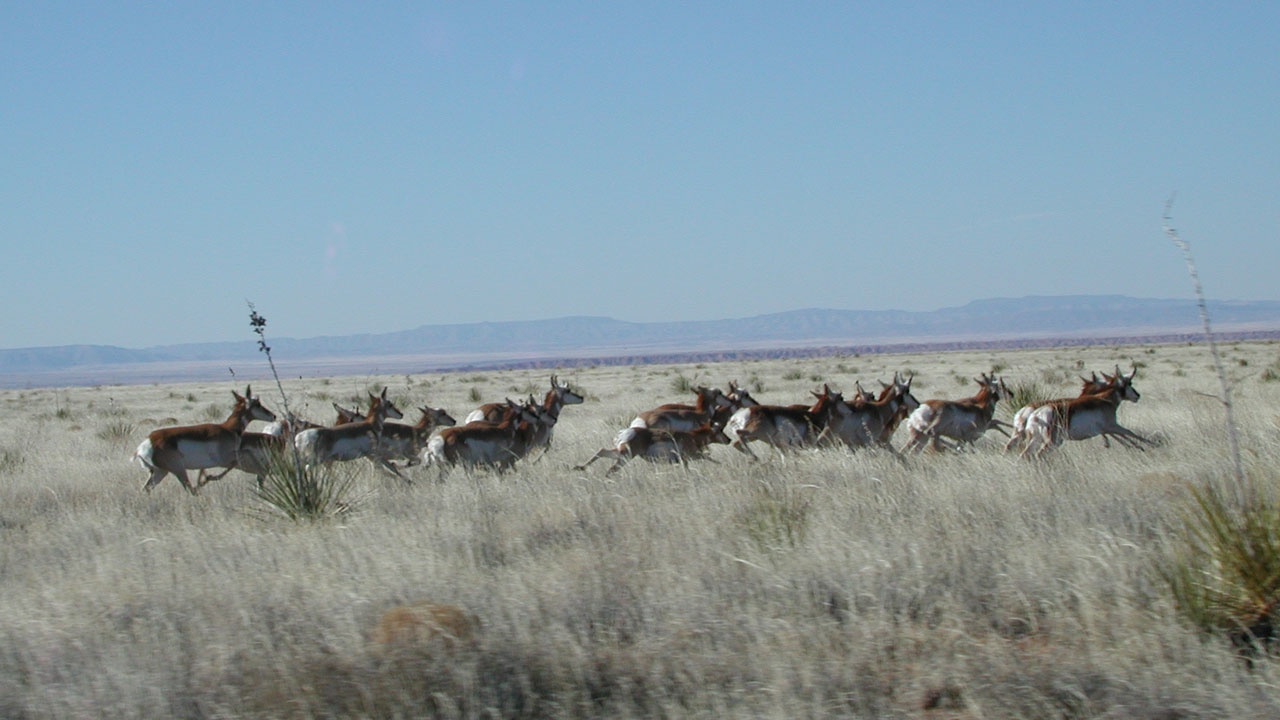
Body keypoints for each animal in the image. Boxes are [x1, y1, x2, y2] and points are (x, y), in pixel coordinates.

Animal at [133, 386, 275, 495]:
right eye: (257, 403)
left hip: (160, 472)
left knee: (146, 489)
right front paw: (208, 477)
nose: (273, 416)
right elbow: (240, 458)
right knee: (190, 490)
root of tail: (147, 442)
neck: (227, 429)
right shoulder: (225, 459)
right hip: (178, 470)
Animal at [575, 423, 731, 475]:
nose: (729, 440)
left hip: (620, 454)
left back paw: (580, 467)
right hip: (625, 457)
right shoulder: (693, 456)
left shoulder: (685, 460)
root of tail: (625, 432)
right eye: (720, 430)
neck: (692, 436)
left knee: (601, 451)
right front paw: (724, 466)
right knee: (611, 469)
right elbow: (710, 458)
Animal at [1020, 366, 1155, 458]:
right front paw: (1152, 445)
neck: (1104, 399)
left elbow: (1122, 436)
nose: (1137, 395)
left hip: (1035, 439)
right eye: (1130, 383)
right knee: (1038, 454)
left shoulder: (1106, 430)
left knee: (1024, 454)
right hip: (1052, 442)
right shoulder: (1112, 426)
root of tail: (1036, 414)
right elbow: (1129, 432)